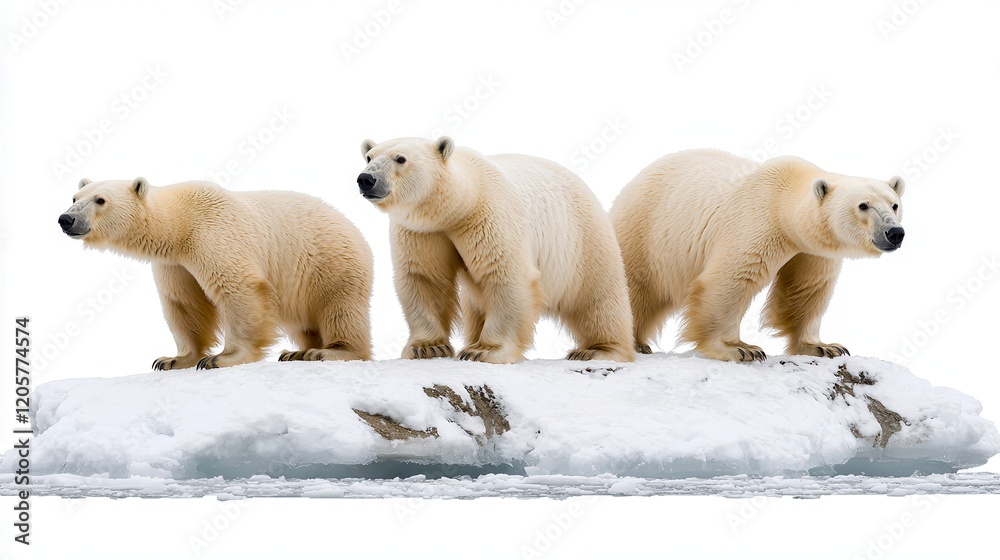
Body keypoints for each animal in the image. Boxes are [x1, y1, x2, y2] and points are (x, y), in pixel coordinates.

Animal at [58, 177, 373, 369]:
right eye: (74, 197)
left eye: (100, 200)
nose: (66, 218)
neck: (180, 224)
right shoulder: (175, 263)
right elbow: (184, 303)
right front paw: (173, 359)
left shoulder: (213, 233)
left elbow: (237, 288)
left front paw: (221, 358)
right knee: (303, 323)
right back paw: (297, 351)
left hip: (330, 264)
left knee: (340, 308)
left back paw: (327, 351)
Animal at [356, 136, 634, 364]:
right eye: (369, 156)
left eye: (400, 158)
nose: (366, 179)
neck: (457, 207)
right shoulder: (423, 231)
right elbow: (425, 278)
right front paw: (427, 347)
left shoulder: (488, 216)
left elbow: (504, 274)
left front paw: (483, 351)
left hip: (580, 239)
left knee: (597, 295)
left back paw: (597, 350)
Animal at [610, 149, 905, 362]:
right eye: (863, 205)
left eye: (894, 204)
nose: (894, 233)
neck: (784, 199)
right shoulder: (757, 221)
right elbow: (732, 280)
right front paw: (740, 349)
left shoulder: (812, 250)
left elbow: (807, 289)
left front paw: (825, 346)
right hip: (646, 230)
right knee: (635, 284)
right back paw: (635, 341)